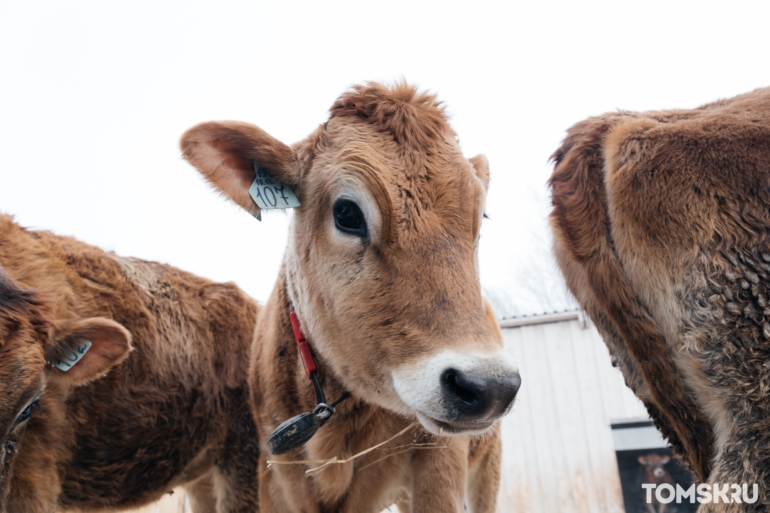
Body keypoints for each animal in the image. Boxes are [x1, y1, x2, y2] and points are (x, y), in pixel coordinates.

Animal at [181, 82, 520, 510]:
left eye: (481, 218)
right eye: (347, 214)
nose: (489, 386)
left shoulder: (439, 459)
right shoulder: (274, 472)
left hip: (488, 465)